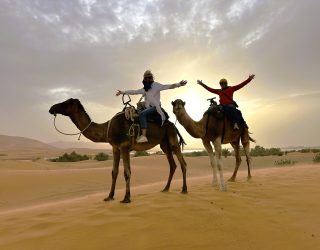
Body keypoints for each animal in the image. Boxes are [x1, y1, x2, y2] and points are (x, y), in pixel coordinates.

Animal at [48, 98, 186, 203]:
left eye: (66, 103)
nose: (51, 108)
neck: (107, 128)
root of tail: (172, 124)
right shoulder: (115, 147)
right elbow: (114, 172)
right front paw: (109, 196)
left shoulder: (125, 146)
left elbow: (127, 172)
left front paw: (126, 198)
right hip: (164, 143)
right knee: (172, 164)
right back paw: (165, 188)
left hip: (171, 136)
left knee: (182, 162)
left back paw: (184, 189)